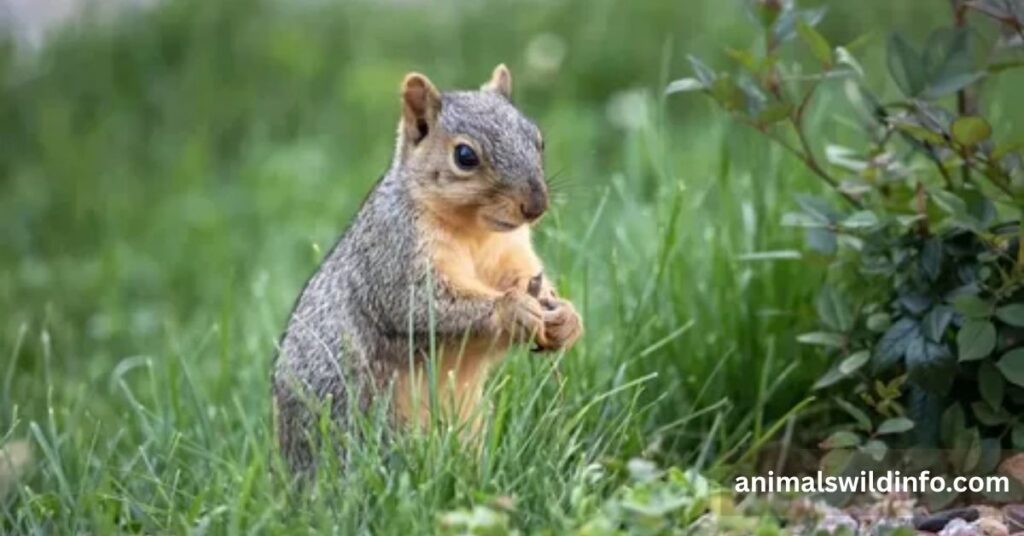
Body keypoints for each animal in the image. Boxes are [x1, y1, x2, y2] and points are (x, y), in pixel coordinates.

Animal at [272, 64, 582, 474]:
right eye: (465, 156)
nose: (535, 206)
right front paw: (512, 308)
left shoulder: (511, 253)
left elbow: (524, 279)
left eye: (538, 139)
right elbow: (422, 305)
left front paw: (565, 316)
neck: (475, 232)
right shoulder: (393, 255)